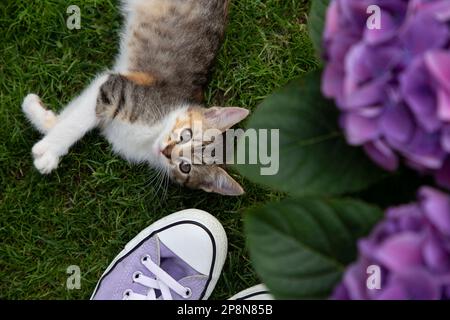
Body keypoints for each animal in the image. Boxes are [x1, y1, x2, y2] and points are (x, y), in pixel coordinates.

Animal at [22, 0, 250, 196]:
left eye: (185, 167)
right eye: (186, 134)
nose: (167, 151)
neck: (151, 137)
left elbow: (75, 115)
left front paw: (43, 121)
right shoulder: (116, 87)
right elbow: (75, 123)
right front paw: (48, 146)